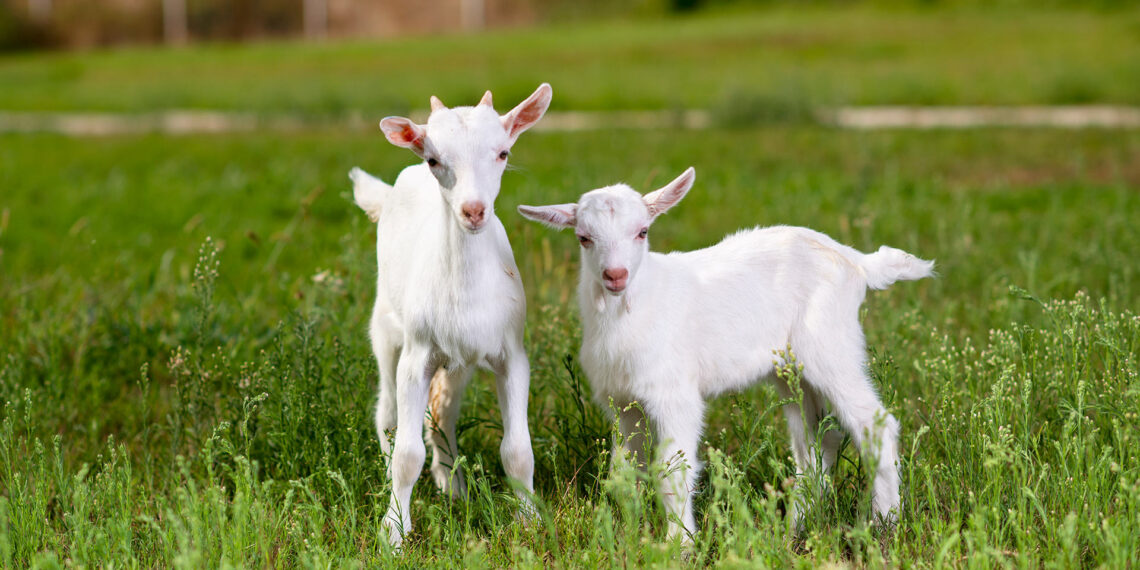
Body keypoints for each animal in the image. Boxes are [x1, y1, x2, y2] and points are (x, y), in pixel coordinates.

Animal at [350, 84, 552, 547]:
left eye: (503, 152)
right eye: (434, 159)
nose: (473, 211)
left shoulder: (511, 353)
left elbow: (518, 449)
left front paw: (529, 520)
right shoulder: (417, 354)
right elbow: (407, 454)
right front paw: (394, 531)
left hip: (459, 359)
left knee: (442, 411)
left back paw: (452, 484)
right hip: (386, 329)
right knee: (388, 413)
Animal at [518, 167, 933, 541]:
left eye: (642, 231)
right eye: (584, 238)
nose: (615, 275)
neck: (634, 306)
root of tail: (855, 261)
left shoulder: (674, 395)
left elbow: (672, 470)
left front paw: (679, 545)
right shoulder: (621, 403)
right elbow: (623, 470)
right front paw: (624, 533)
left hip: (830, 346)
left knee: (875, 425)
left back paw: (884, 523)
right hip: (790, 371)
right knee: (815, 441)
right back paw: (796, 528)